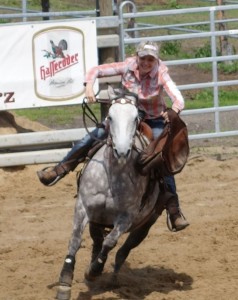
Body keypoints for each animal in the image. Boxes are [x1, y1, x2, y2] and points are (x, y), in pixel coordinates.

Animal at [57, 85, 166, 298]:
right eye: (110, 117)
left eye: (135, 118)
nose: (122, 151)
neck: (112, 175)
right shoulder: (83, 207)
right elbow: (75, 240)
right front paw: (65, 284)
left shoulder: (126, 217)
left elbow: (110, 242)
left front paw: (94, 270)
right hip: (97, 219)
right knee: (97, 241)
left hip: (147, 221)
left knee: (123, 249)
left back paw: (113, 279)